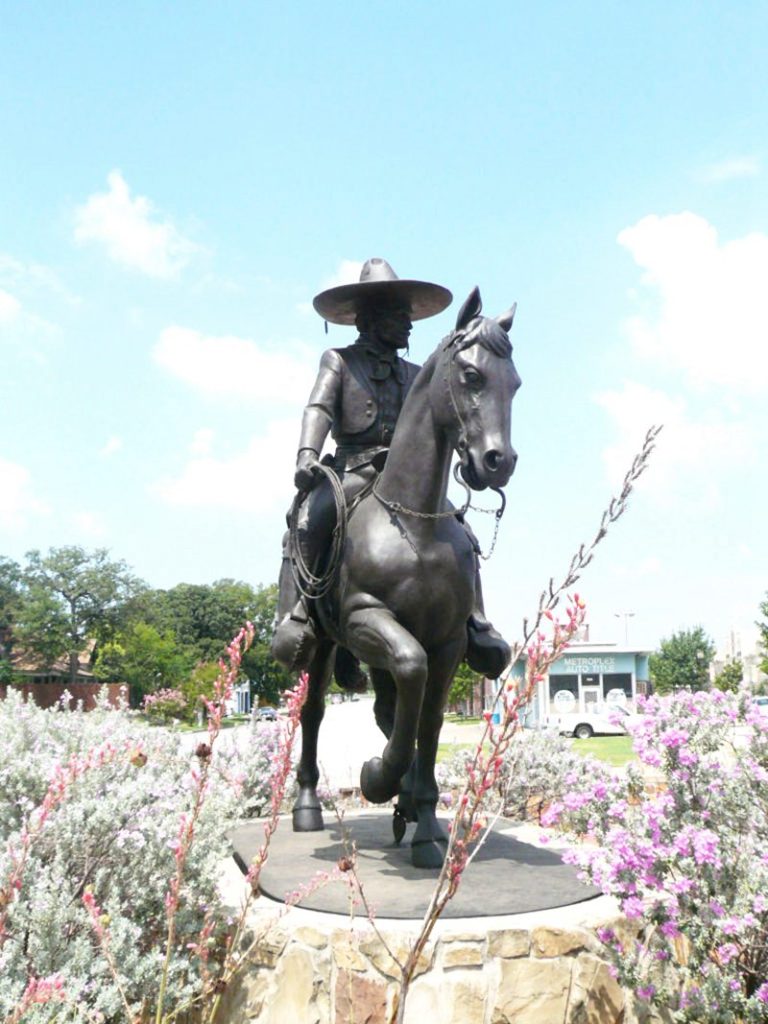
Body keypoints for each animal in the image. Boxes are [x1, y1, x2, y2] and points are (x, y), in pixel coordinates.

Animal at [288, 286, 524, 864]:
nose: (497, 462)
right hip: (323, 643)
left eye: (515, 382)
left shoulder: (446, 642)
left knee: (389, 707)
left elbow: (429, 719)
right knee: (315, 710)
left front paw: (426, 822)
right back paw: (308, 806)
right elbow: (410, 683)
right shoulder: (366, 621)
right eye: (471, 375)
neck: (414, 527)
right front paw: (378, 777)